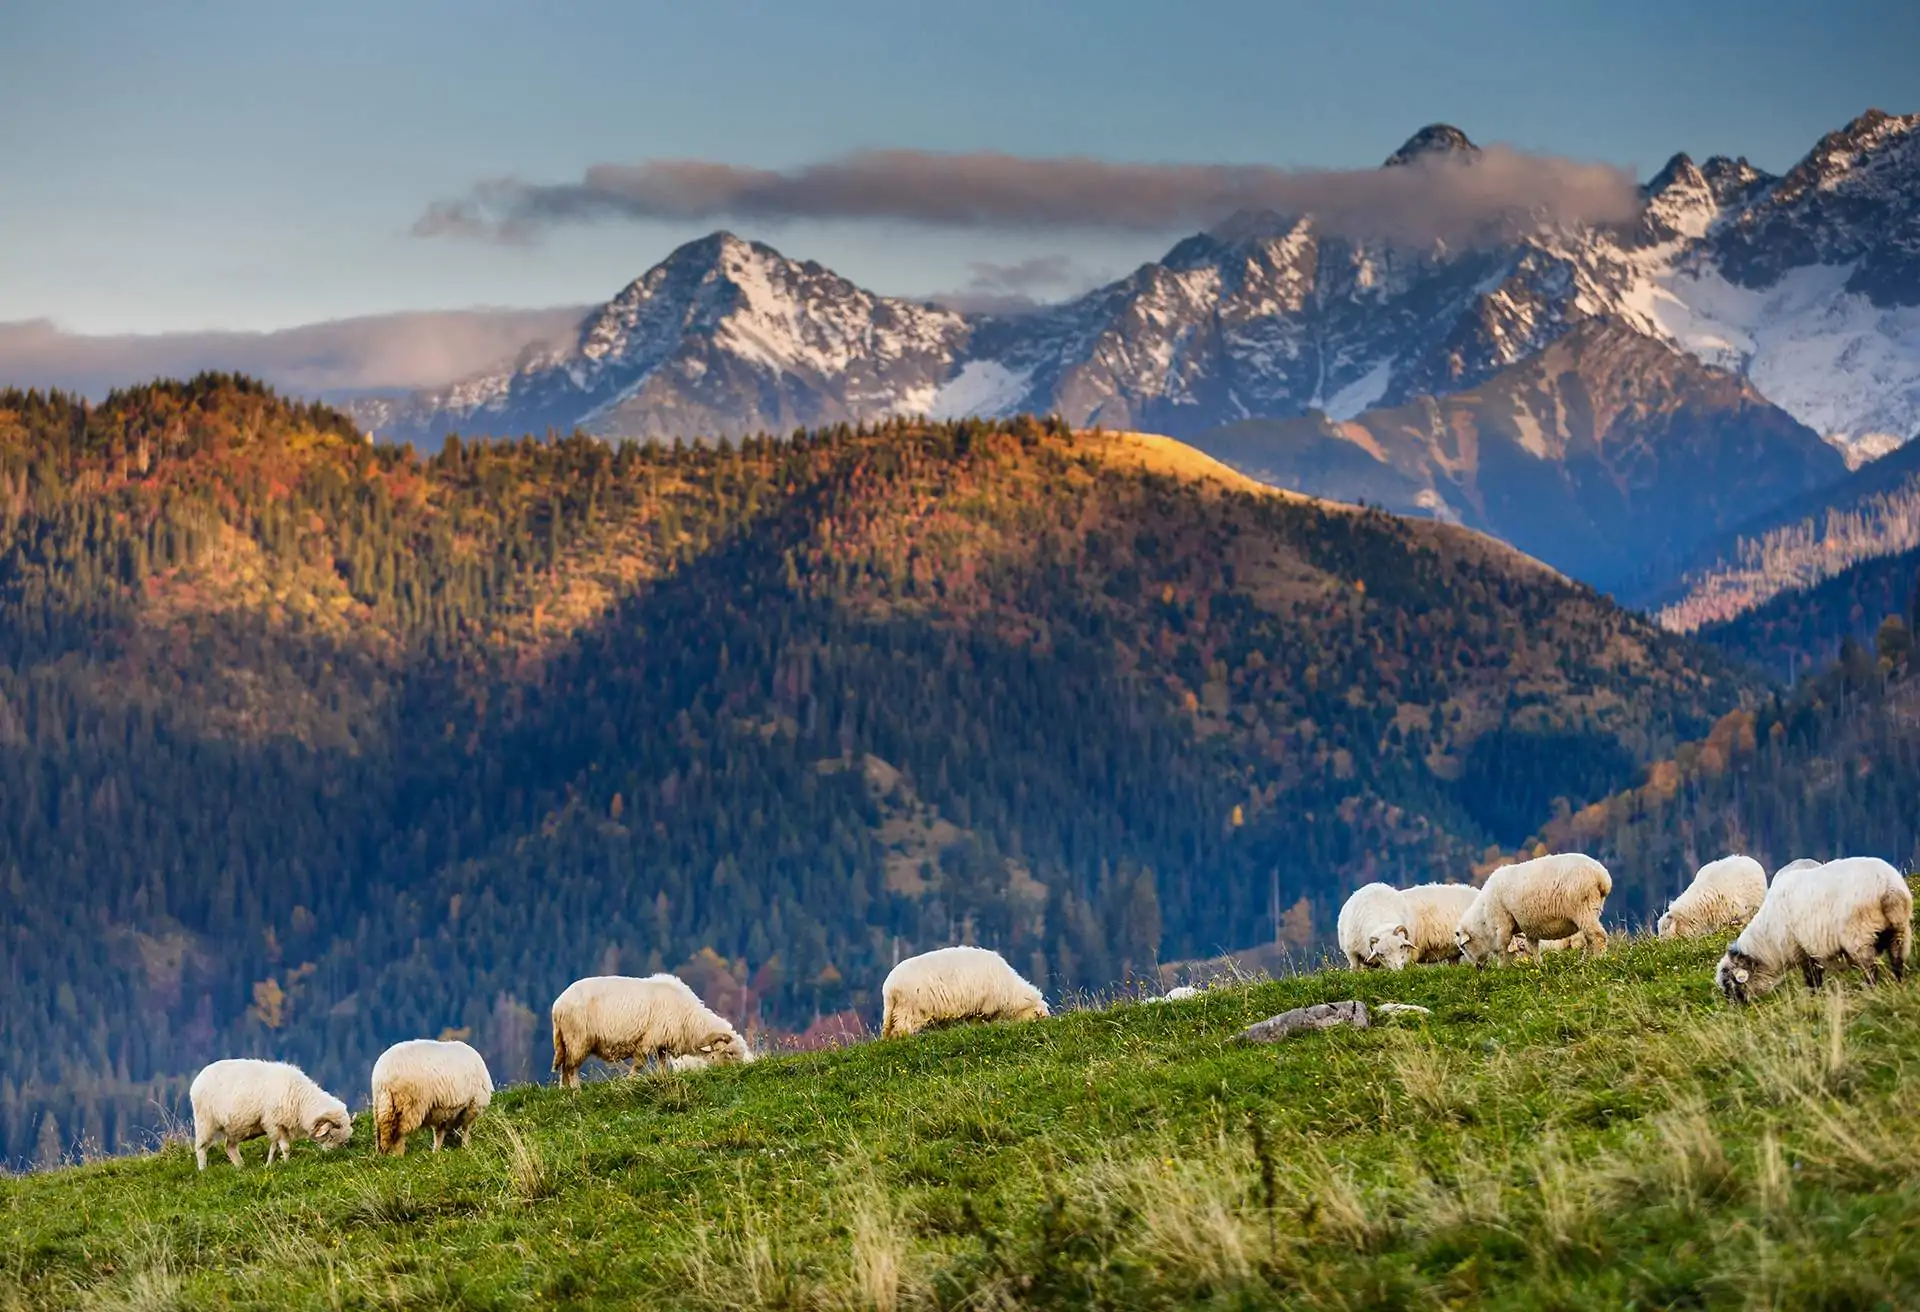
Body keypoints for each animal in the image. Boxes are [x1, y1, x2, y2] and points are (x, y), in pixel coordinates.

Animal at [190, 1060, 353, 1167]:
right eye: (331, 1135)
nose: (332, 1156)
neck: (301, 1101)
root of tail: (198, 1079)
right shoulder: (274, 1123)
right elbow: (285, 1147)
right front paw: (287, 1164)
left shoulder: (275, 1126)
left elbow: (274, 1147)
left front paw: (269, 1164)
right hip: (205, 1121)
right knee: (201, 1147)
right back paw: (203, 1170)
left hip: (235, 1127)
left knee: (229, 1147)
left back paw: (241, 1167)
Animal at [552, 968, 752, 1091]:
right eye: (729, 1054)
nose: (738, 1074)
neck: (689, 1019)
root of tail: (558, 1005)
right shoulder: (648, 1040)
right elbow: (639, 1064)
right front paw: (631, 1081)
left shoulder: (661, 1044)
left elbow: (662, 1065)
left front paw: (662, 1078)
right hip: (577, 1039)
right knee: (571, 1067)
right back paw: (576, 1089)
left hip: (567, 1041)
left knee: (564, 1067)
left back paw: (564, 1090)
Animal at [883, 948, 1052, 1044]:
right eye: (1039, 1016)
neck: (1010, 991)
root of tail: (889, 987)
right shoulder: (984, 1007)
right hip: (910, 1009)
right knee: (901, 1030)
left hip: (896, 1011)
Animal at [1451, 852, 1605, 964]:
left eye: (1463, 946)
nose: (1478, 968)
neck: (1483, 918)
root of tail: (1602, 875)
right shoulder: (1529, 926)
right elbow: (1533, 946)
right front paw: (1538, 965)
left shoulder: (1503, 924)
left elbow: (1503, 948)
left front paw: (1504, 968)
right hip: (1590, 910)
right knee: (1590, 938)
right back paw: (1585, 961)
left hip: (1583, 909)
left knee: (1598, 936)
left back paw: (1598, 960)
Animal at [1720, 852, 1912, 1006]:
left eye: (1729, 983)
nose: (1735, 1008)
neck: (1767, 942)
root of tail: (1890, 888)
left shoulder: (1804, 952)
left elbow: (1812, 980)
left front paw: (1814, 998)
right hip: (1900, 931)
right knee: (1897, 961)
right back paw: (1898, 985)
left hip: (1860, 937)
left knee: (1870, 969)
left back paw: (1871, 991)